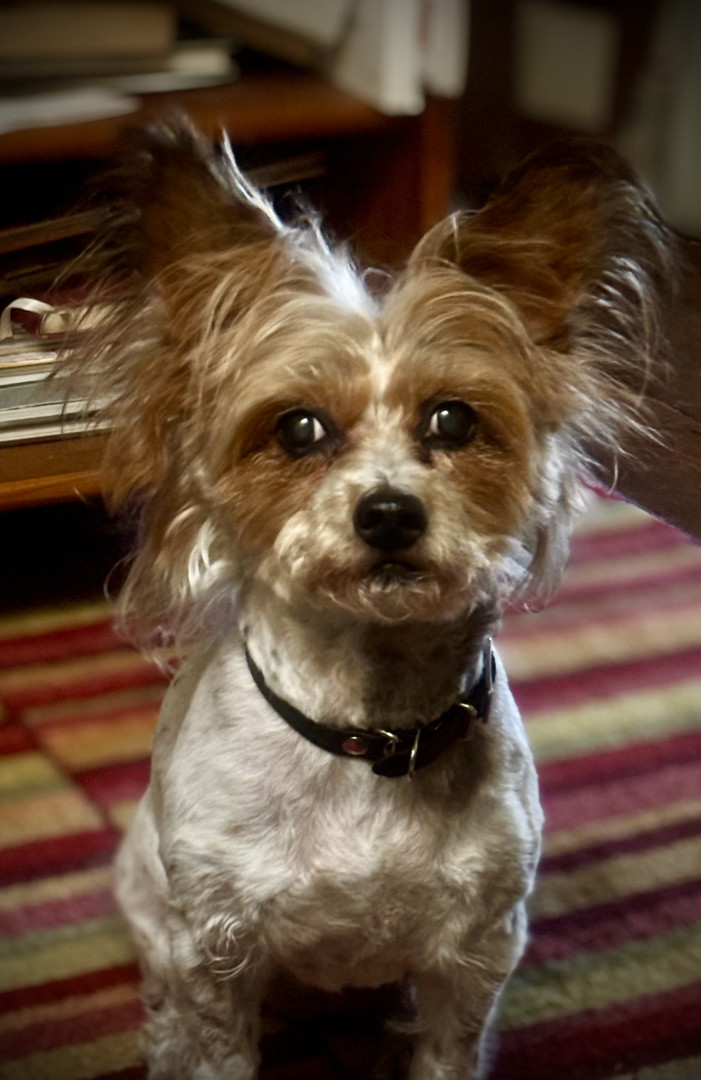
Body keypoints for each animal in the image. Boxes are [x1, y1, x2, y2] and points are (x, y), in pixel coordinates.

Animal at [70, 125, 670, 1079]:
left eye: (454, 421)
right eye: (298, 427)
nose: (388, 511)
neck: (369, 734)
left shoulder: (477, 953)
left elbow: (446, 1054)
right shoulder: (215, 951)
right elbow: (216, 1050)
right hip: (153, 906)